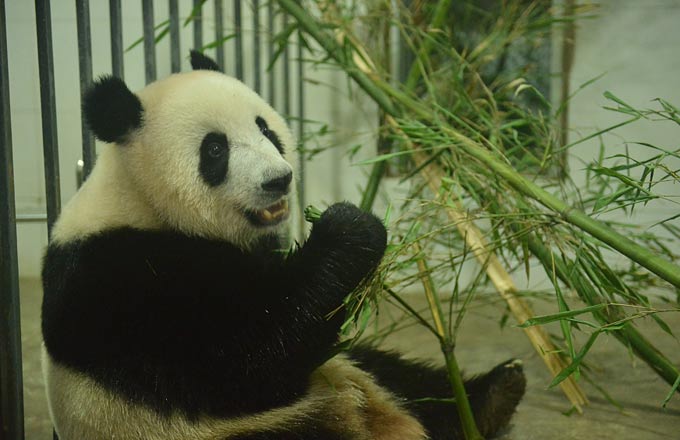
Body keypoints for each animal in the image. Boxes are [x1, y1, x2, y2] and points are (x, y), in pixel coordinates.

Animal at [41, 50, 526, 440]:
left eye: (265, 129)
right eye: (214, 149)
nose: (279, 180)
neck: (139, 199)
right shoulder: (121, 280)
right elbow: (244, 362)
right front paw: (350, 227)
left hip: (347, 369)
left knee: (394, 372)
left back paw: (494, 395)